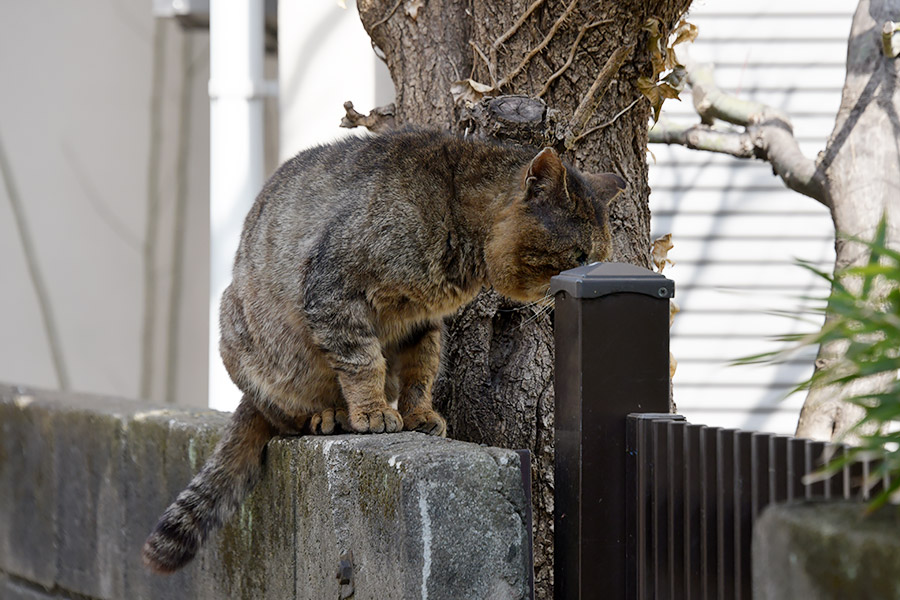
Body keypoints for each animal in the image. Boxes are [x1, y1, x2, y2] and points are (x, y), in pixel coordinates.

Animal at [141, 130, 624, 572]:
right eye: (579, 255)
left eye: (600, 255)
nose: (592, 274)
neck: (455, 212)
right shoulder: (335, 292)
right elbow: (363, 363)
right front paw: (373, 411)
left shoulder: (420, 323)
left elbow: (420, 372)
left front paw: (418, 414)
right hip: (239, 332)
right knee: (283, 414)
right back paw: (329, 414)